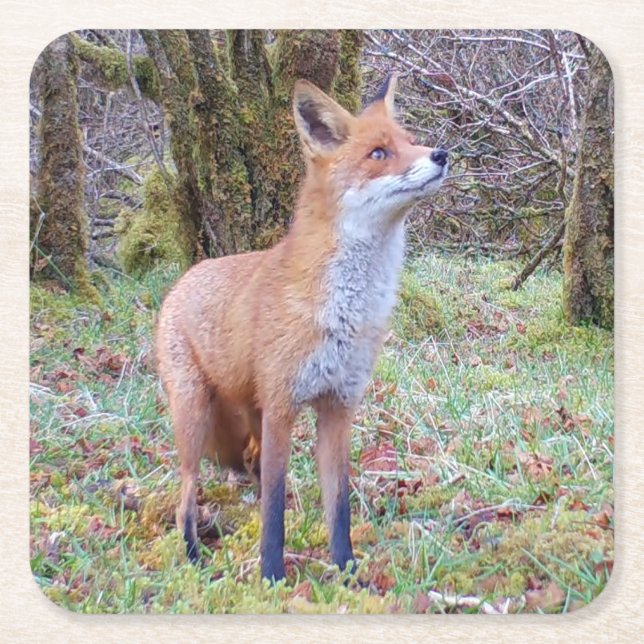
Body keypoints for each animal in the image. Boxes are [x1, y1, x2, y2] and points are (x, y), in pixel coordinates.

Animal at [155, 74, 448, 582]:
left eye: (412, 141)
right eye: (378, 153)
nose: (441, 154)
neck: (345, 314)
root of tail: (182, 281)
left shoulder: (339, 408)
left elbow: (339, 507)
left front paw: (347, 574)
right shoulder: (282, 406)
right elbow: (274, 512)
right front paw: (272, 577)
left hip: (246, 419)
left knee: (249, 468)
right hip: (194, 417)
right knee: (186, 496)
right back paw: (193, 556)